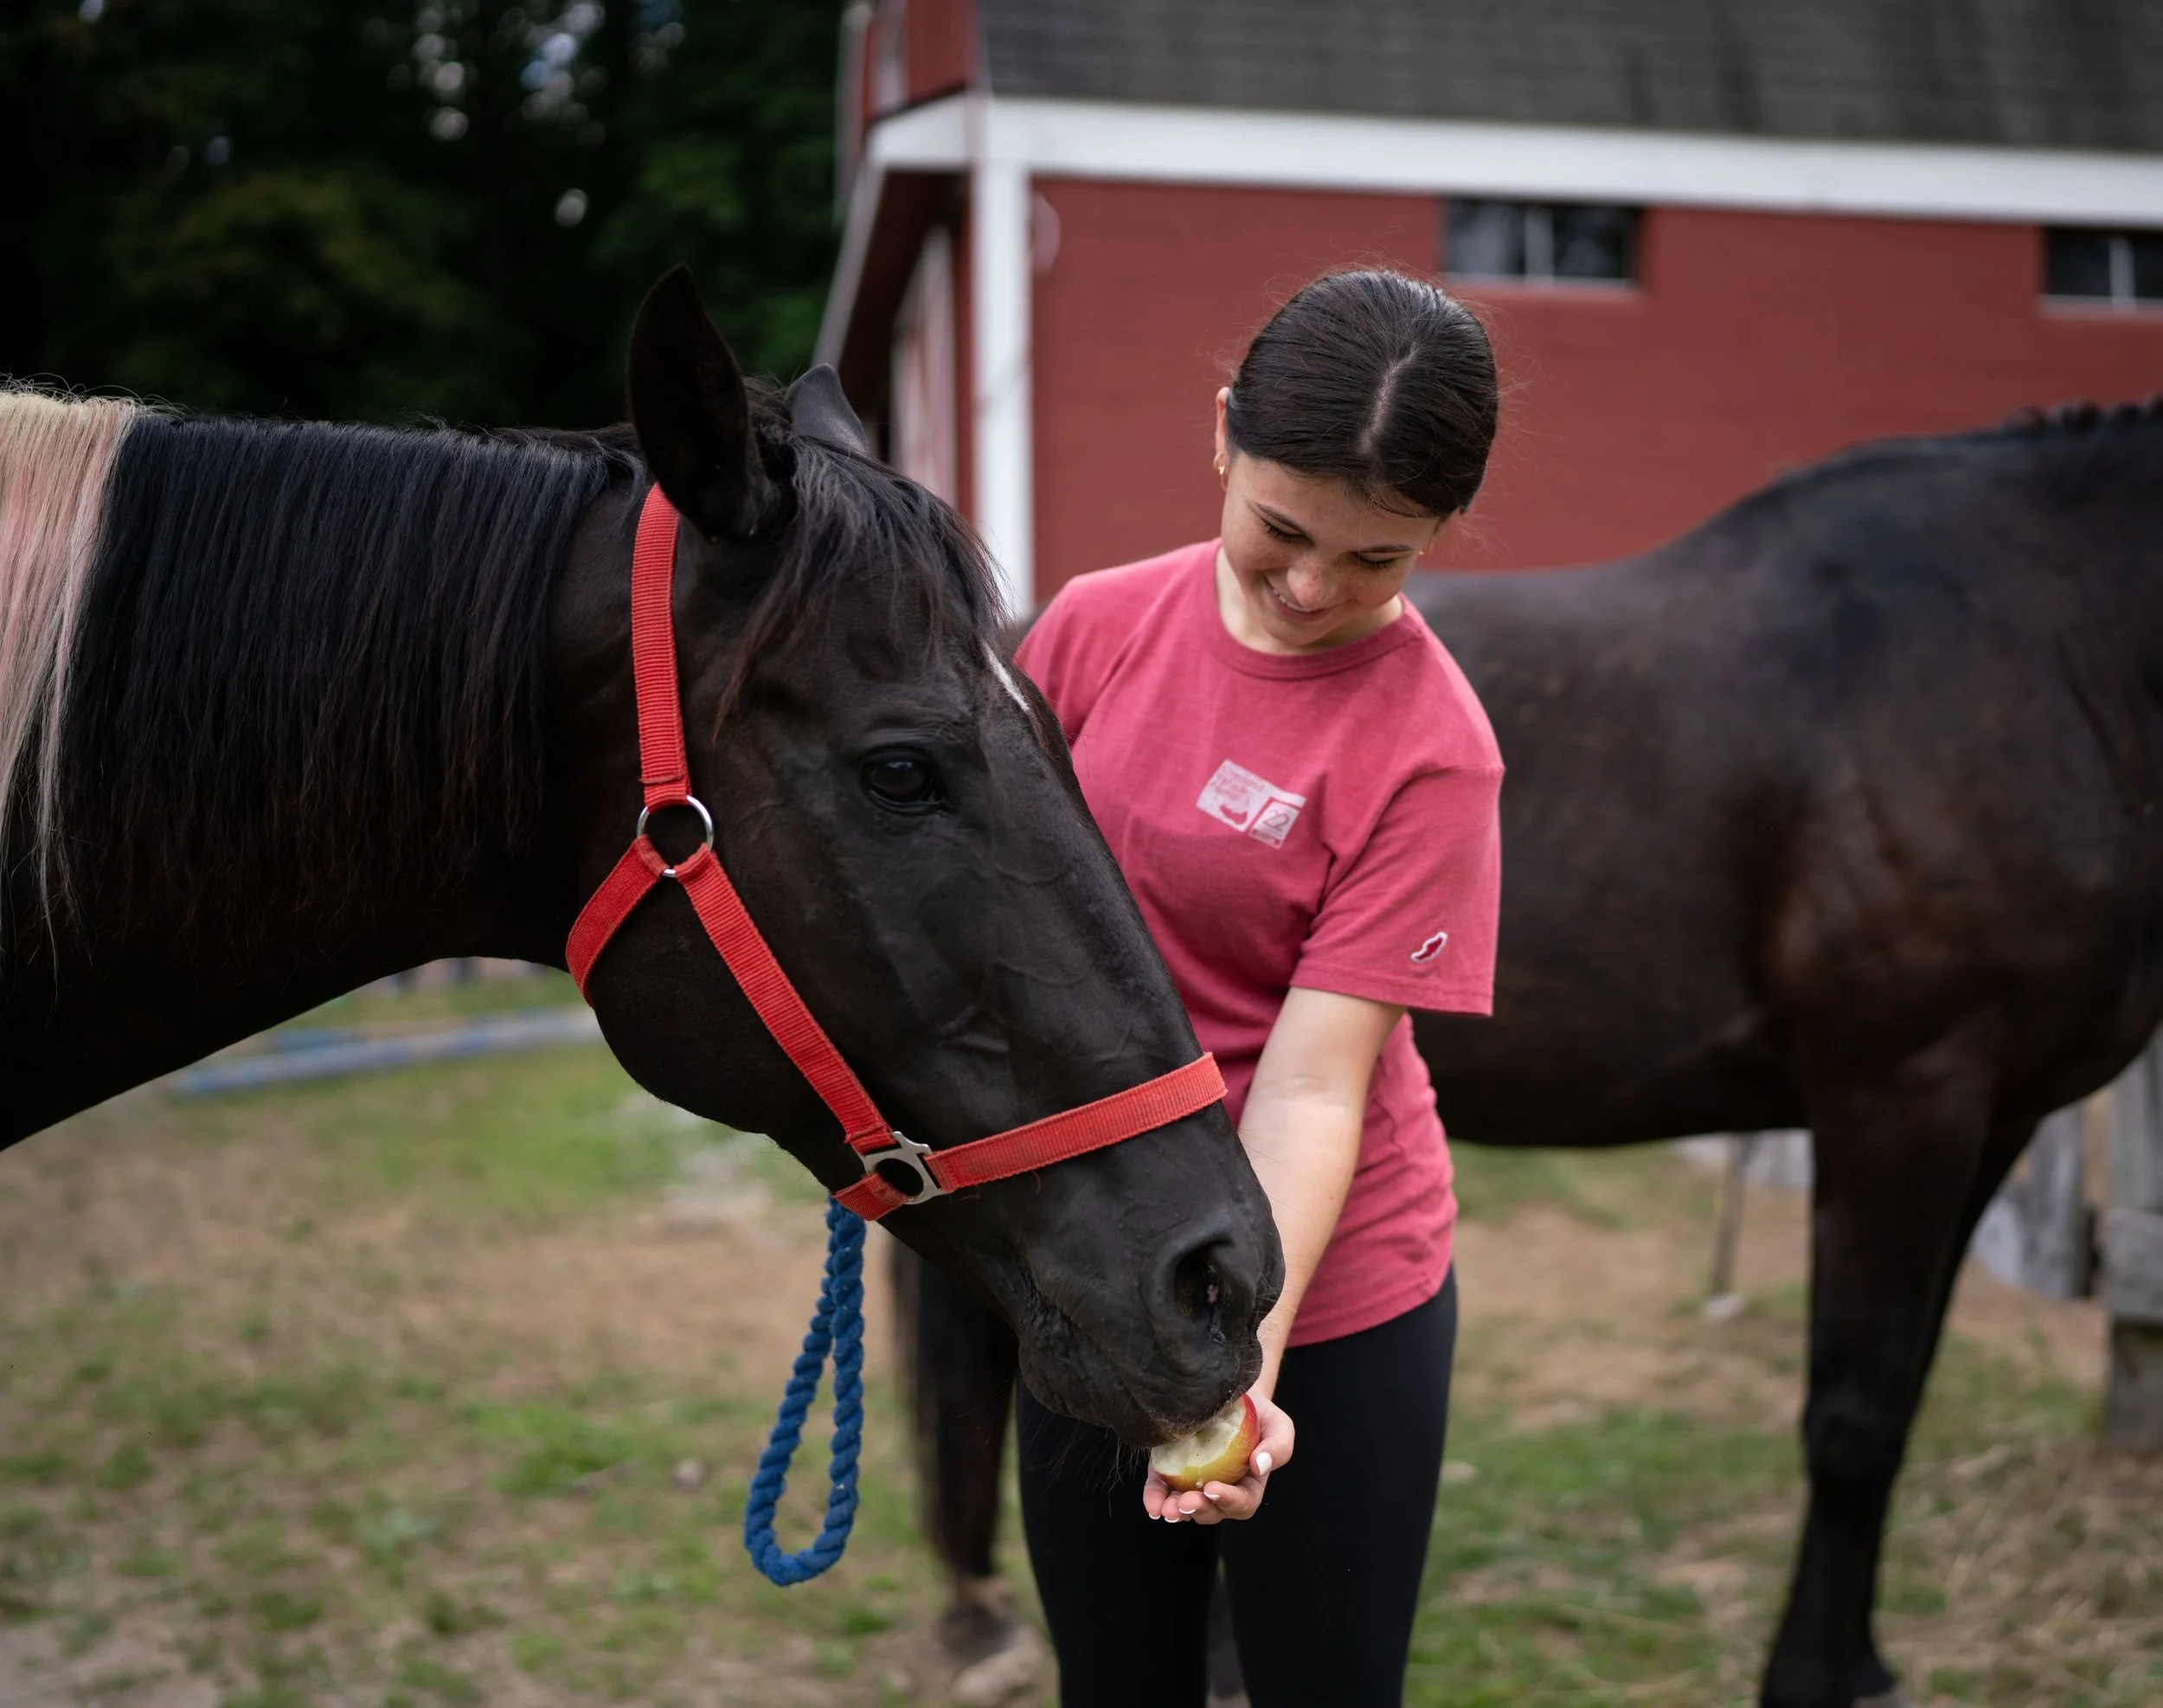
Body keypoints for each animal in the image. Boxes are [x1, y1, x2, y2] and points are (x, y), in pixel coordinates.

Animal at [897, 398, 2163, 1708]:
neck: (2038, 645)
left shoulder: (1995, 1115)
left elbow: (1899, 1399)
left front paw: (1859, 1658)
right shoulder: (1902, 1097)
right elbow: (1854, 1417)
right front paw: (1812, 1673)